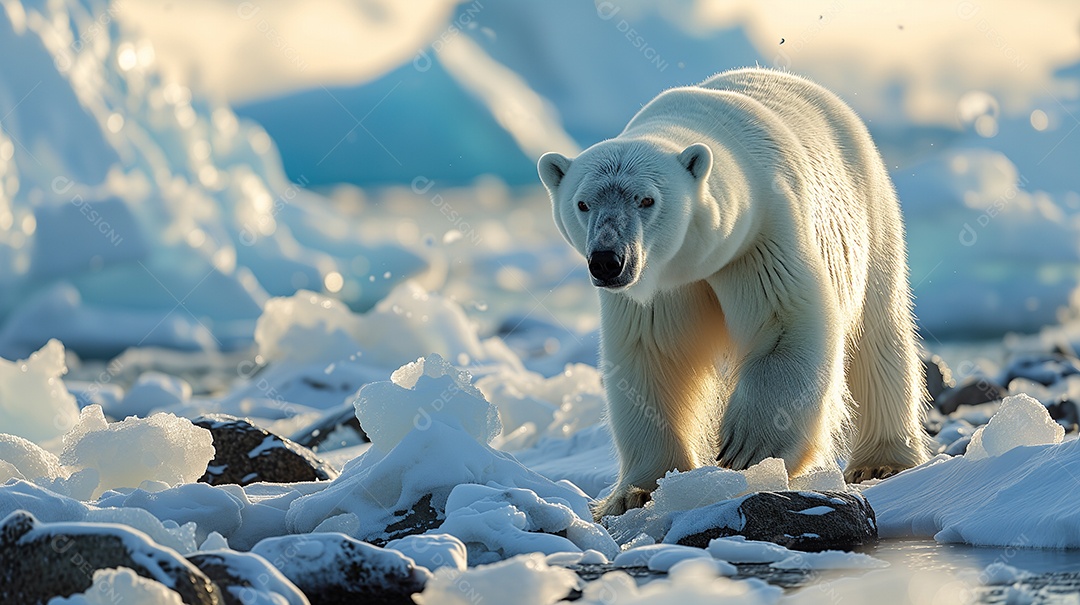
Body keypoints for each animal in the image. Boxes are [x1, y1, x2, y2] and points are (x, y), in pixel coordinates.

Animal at [537, 67, 929, 520]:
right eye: (582, 204)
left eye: (647, 199)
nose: (607, 260)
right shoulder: (657, 290)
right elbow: (651, 357)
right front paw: (636, 492)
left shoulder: (762, 238)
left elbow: (786, 324)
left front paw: (748, 448)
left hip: (872, 214)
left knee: (879, 334)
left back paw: (881, 460)